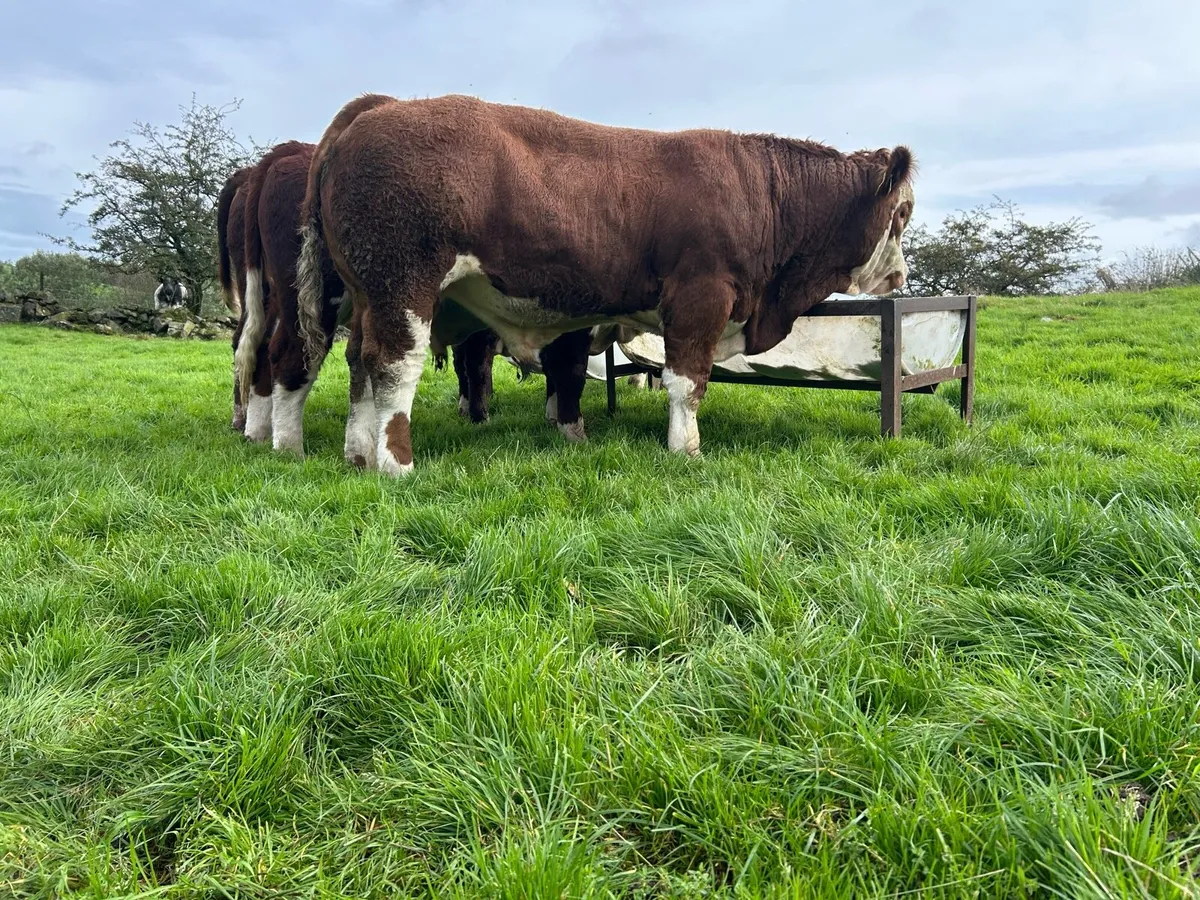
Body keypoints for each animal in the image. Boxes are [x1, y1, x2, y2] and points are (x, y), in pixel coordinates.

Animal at [295, 93, 915, 476]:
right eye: (904, 213)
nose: (902, 275)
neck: (760, 193)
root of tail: (379, 107)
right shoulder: (700, 297)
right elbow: (687, 382)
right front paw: (685, 451)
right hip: (403, 284)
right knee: (393, 365)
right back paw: (395, 463)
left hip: (368, 293)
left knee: (357, 363)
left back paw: (357, 454)